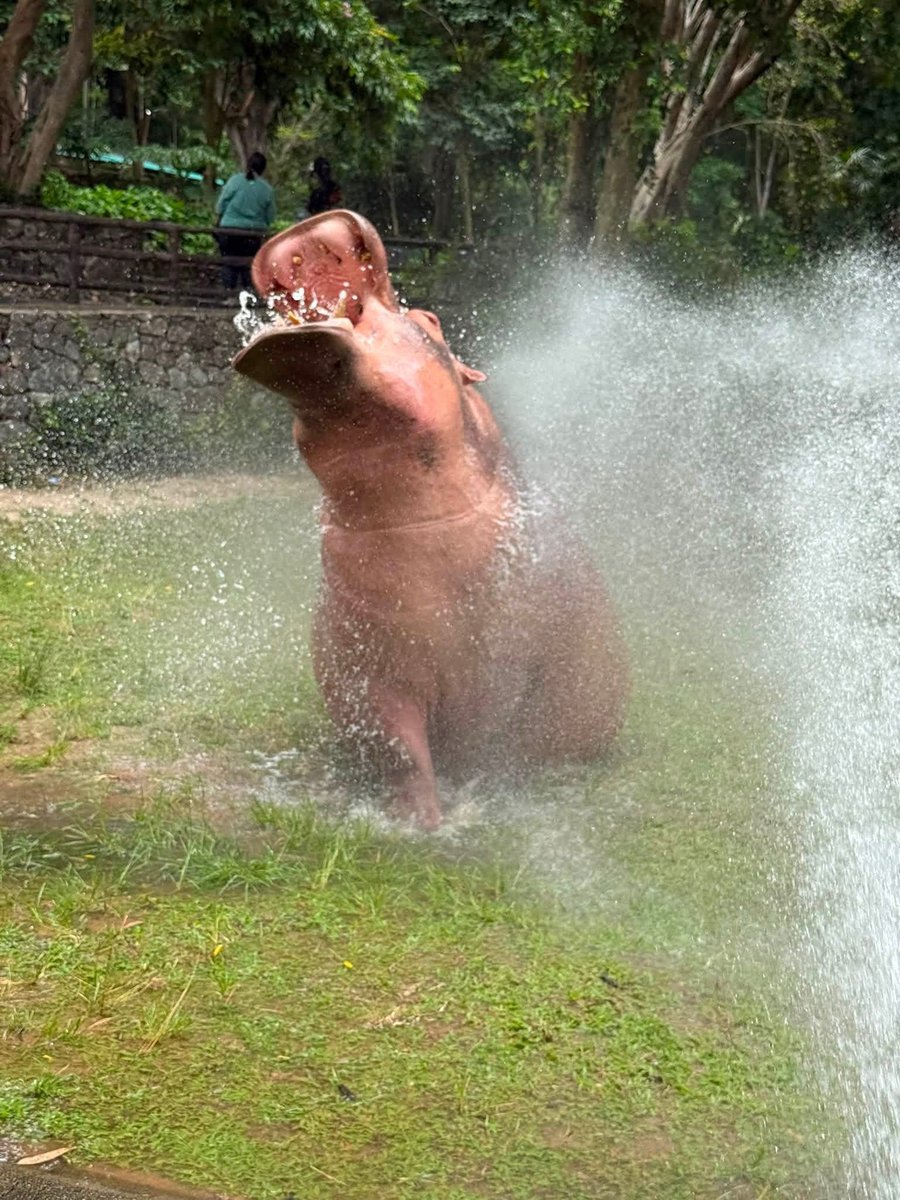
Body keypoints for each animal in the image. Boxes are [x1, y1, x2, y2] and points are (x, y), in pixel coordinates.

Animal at [233, 210, 627, 829]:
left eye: (429, 318)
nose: (310, 225)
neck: (408, 517)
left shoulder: (514, 663)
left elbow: (496, 736)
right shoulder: (365, 674)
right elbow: (398, 749)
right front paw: (417, 824)